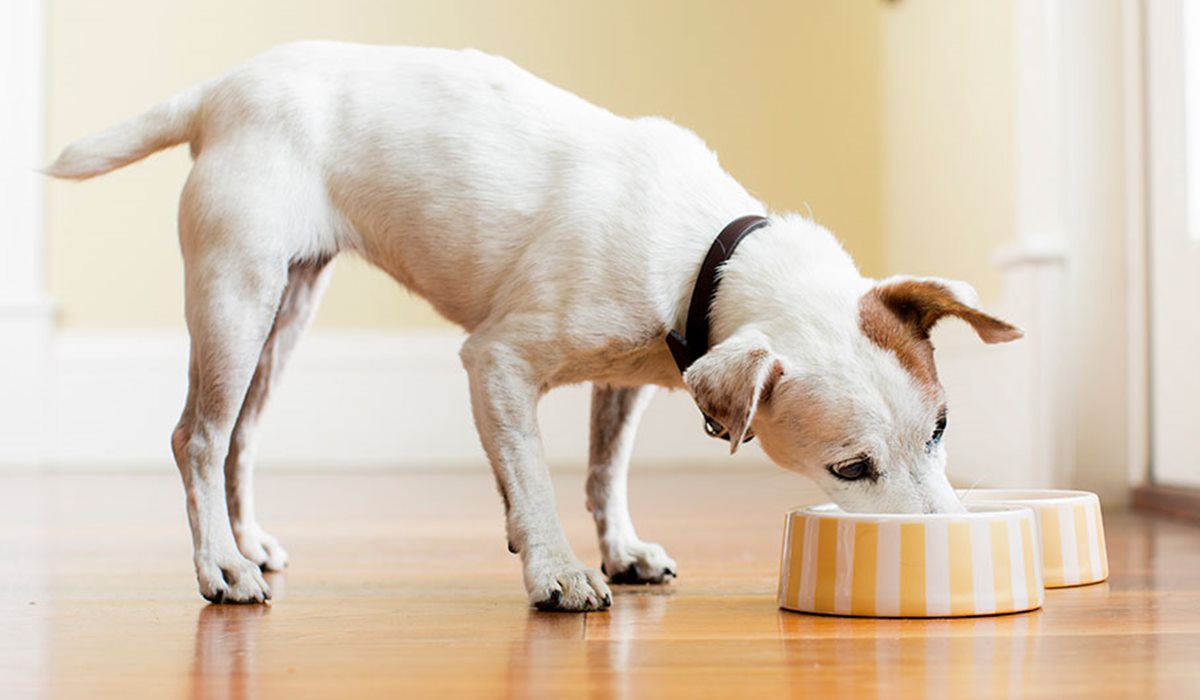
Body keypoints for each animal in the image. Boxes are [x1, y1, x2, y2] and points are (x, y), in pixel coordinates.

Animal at [49, 42, 1022, 614]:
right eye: (851, 470)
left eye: (943, 429)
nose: (947, 539)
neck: (703, 251)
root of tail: (223, 88)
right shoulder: (499, 365)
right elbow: (534, 479)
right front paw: (555, 568)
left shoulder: (628, 378)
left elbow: (602, 472)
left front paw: (620, 549)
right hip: (235, 297)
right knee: (198, 437)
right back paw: (219, 564)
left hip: (283, 317)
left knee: (242, 438)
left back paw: (246, 541)